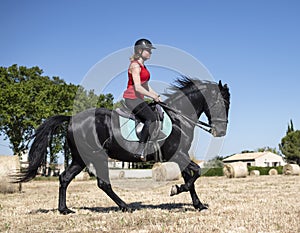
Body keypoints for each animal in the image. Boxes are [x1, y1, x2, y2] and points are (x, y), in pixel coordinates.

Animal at [16, 77, 231, 214]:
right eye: (223, 103)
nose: (221, 132)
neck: (179, 118)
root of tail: (72, 119)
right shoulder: (177, 154)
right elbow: (195, 173)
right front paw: (176, 190)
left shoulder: (182, 155)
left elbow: (191, 177)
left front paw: (198, 204)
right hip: (97, 155)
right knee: (103, 183)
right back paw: (126, 206)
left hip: (80, 158)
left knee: (64, 178)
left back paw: (65, 210)